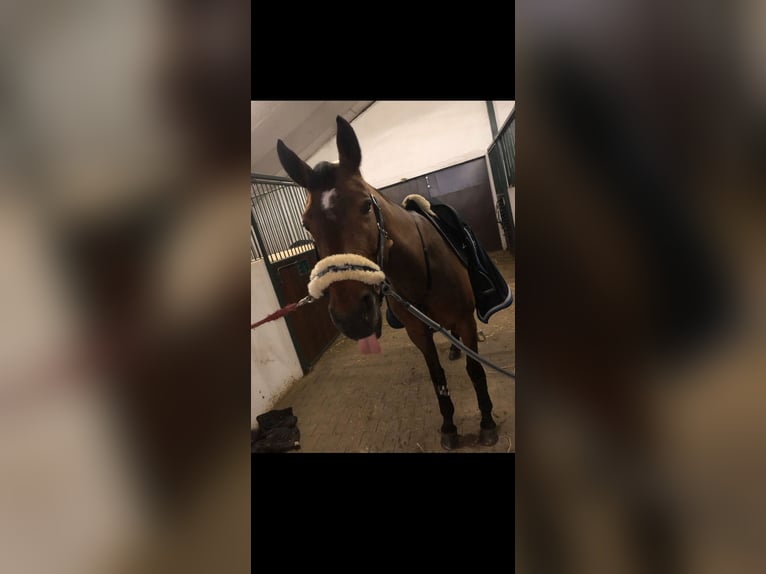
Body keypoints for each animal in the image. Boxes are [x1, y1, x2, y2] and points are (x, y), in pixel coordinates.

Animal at [276, 115, 500, 450]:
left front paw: (486, 422)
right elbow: (438, 379)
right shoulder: (417, 331)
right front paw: (449, 428)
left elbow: (475, 370)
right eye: (306, 223)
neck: (420, 268)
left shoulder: (463, 319)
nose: (352, 317)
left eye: (366, 206)